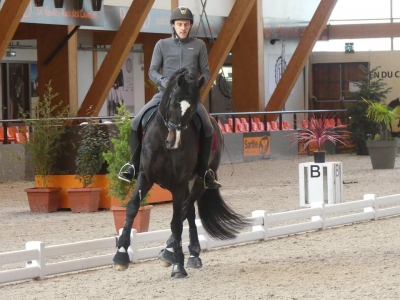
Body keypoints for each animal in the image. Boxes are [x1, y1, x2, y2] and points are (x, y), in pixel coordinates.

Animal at [112, 68, 247, 276]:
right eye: (173, 102)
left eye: (193, 108)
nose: (174, 141)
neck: (163, 141)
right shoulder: (145, 176)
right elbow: (133, 207)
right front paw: (121, 256)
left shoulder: (179, 182)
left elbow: (176, 221)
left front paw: (177, 264)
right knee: (189, 211)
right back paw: (192, 254)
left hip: (199, 181)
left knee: (185, 208)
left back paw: (174, 253)